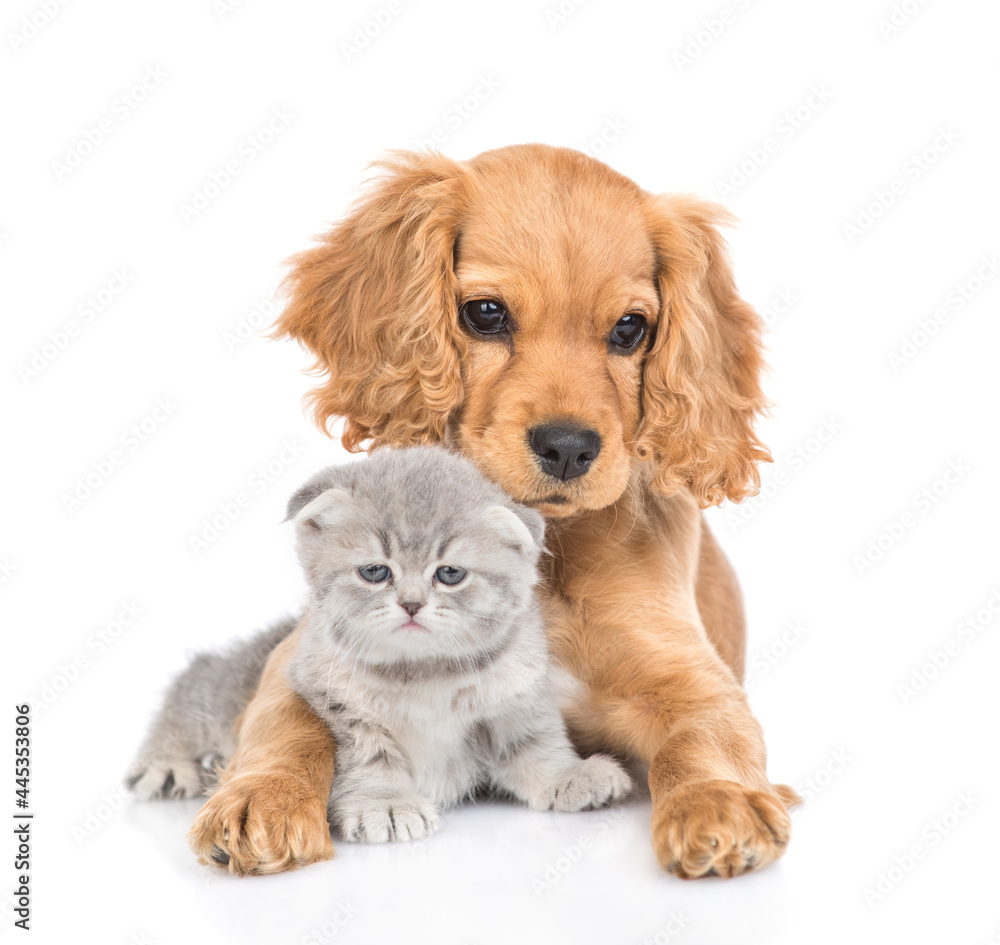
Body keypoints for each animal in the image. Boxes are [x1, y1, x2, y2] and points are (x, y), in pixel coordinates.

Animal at [127, 444, 632, 840]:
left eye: (450, 573)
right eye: (375, 571)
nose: (411, 604)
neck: (425, 673)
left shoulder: (517, 693)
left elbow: (534, 743)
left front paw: (570, 776)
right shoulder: (337, 708)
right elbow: (372, 759)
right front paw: (385, 804)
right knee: (197, 679)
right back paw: (166, 763)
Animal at [188, 146, 800, 876]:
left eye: (630, 328)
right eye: (486, 313)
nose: (568, 447)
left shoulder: (694, 679)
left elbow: (706, 738)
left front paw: (720, 803)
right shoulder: (310, 652)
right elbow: (286, 720)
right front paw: (262, 796)